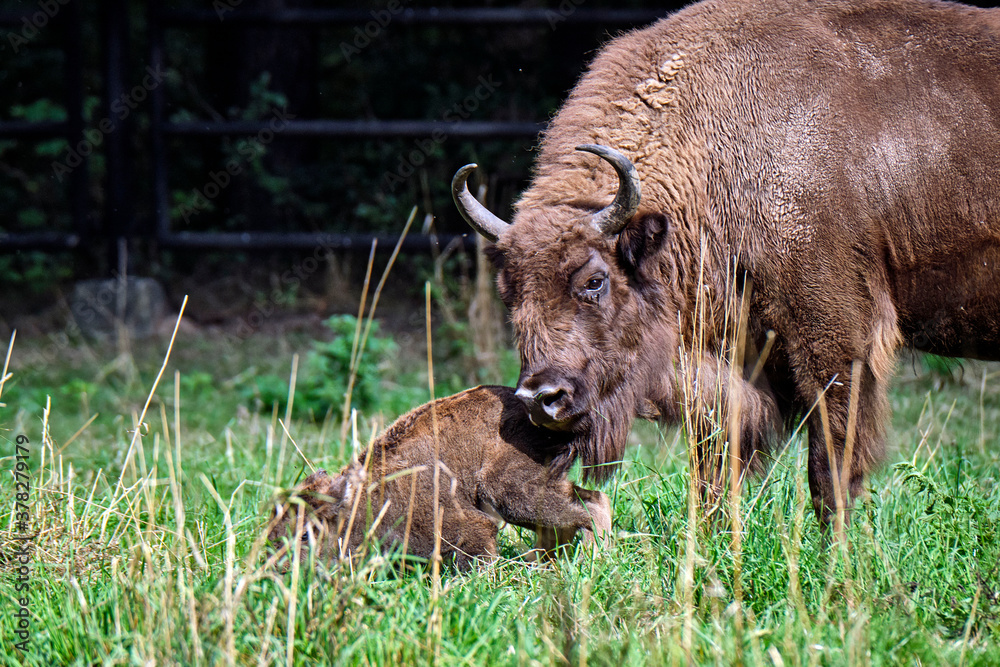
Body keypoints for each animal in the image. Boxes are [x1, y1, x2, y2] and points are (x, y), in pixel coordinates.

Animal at [453, 0, 1000, 525]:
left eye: (594, 280)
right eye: (510, 293)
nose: (540, 400)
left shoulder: (838, 341)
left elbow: (829, 466)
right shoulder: (726, 367)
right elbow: (712, 465)